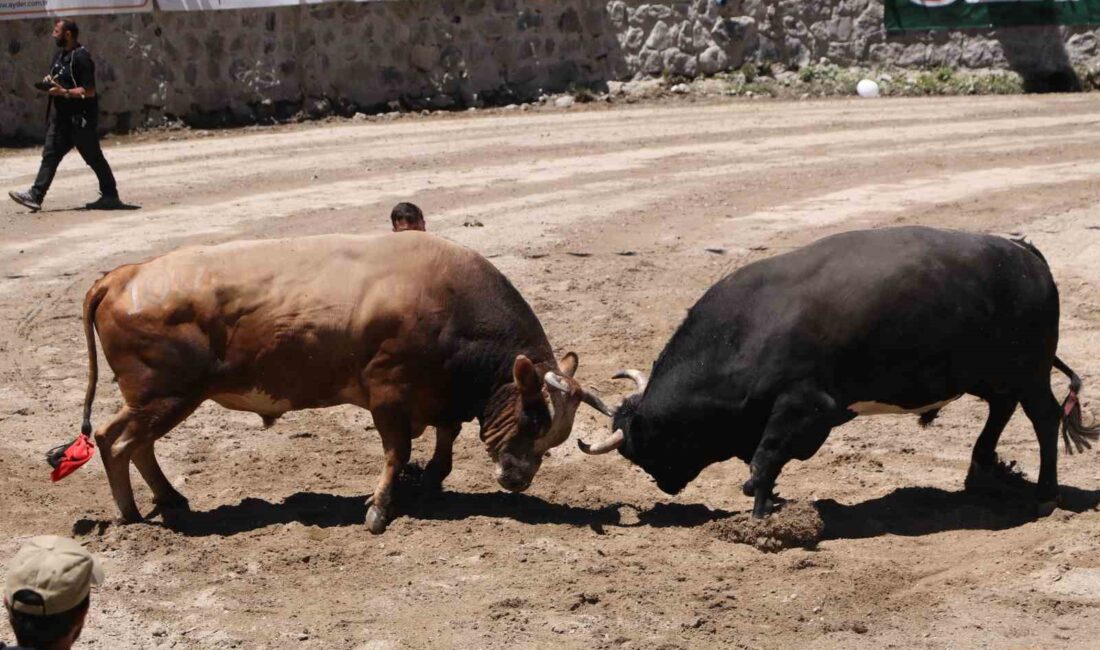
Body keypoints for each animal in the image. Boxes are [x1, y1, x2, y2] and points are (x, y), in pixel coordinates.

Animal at [79, 230, 611, 532]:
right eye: (534, 416)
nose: (517, 479)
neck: (448, 302)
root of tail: (124, 274)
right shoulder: (388, 394)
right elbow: (396, 452)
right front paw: (379, 509)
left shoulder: (438, 396)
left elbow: (445, 438)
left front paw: (430, 480)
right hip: (166, 396)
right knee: (118, 442)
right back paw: (130, 513)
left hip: (157, 399)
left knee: (128, 441)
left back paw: (169, 499)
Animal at [580, 226, 1095, 516]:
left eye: (643, 449)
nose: (665, 485)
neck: (743, 332)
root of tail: (1024, 252)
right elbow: (764, 459)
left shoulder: (808, 406)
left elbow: (764, 459)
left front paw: (763, 514)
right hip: (993, 375)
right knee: (1002, 410)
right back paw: (980, 474)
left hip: (1029, 371)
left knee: (1043, 418)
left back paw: (1045, 495)